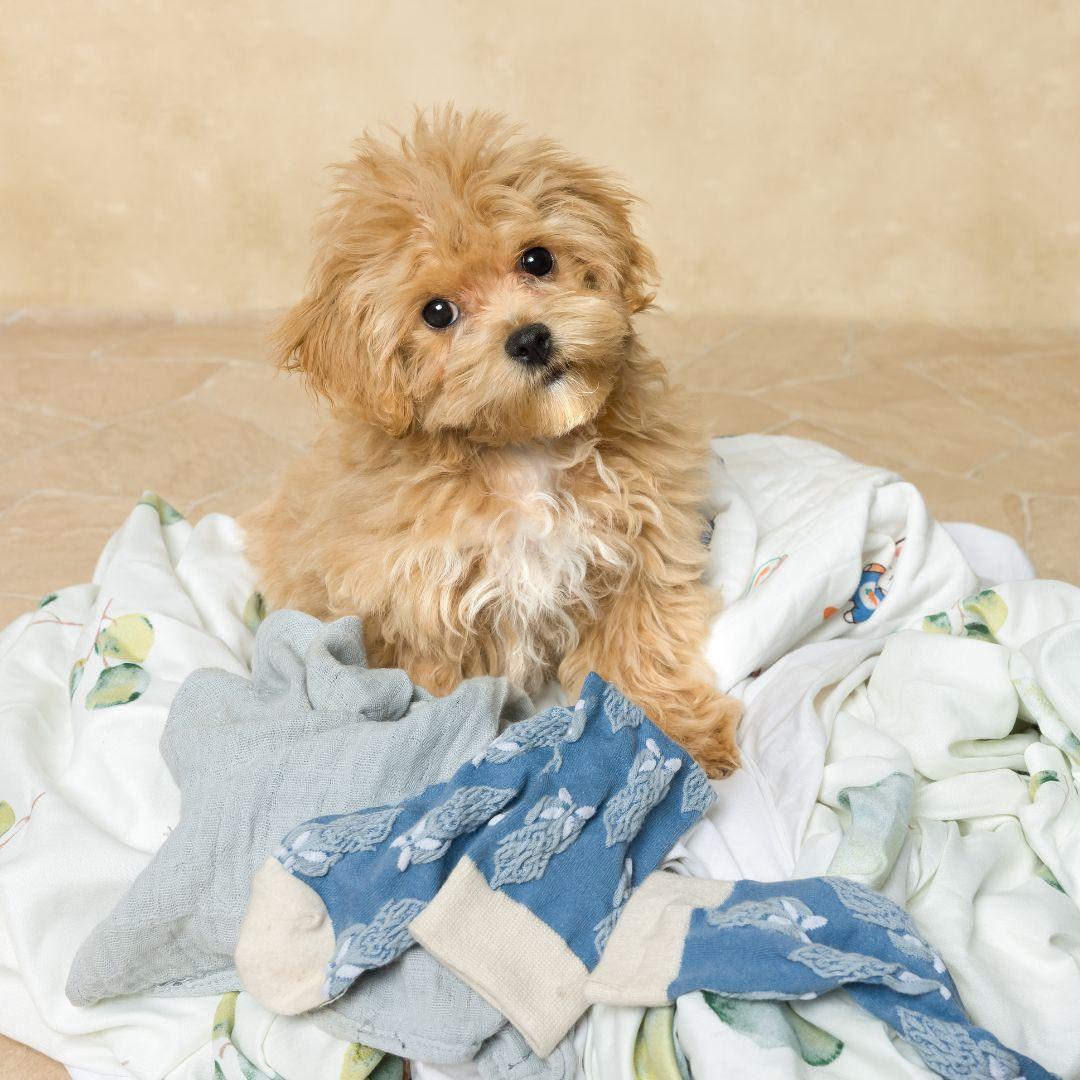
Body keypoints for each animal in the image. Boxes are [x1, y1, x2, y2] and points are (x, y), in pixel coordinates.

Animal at [243, 105, 743, 773]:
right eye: (437, 312)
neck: (523, 450)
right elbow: (444, 699)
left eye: (537, 260)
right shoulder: (422, 615)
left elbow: (637, 656)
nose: (530, 338)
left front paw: (675, 738)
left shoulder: (638, 562)